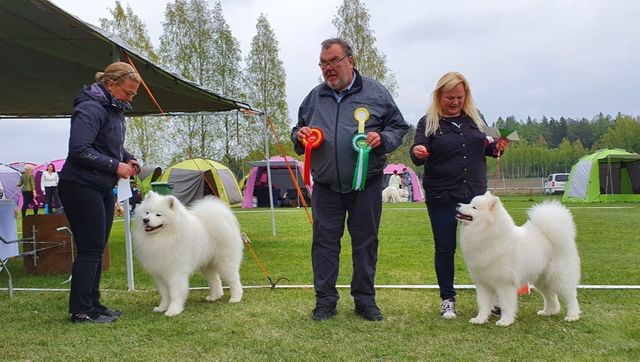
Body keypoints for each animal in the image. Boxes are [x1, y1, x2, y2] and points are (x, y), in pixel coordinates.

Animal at [456, 192, 580, 328]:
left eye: (474, 207)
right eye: (469, 203)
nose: (458, 204)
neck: (487, 234)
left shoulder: (505, 283)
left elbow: (506, 304)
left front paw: (505, 321)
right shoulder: (483, 283)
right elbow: (483, 304)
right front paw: (480, 319)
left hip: (559, 277)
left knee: (571, 296)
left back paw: (572, 316)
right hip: (541, 279)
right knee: (551, 296)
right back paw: (548, 311)